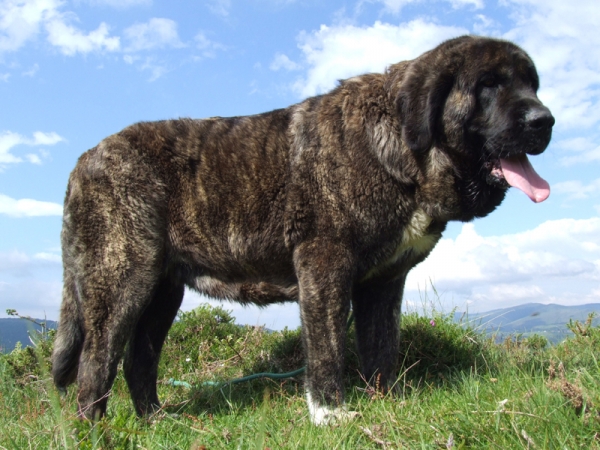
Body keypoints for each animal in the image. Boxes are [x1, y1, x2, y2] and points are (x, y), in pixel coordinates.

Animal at [51, 36, 552, 426]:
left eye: (532, 85)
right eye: (488, 84)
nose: (544, 120)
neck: (404, 149)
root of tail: (82, 161)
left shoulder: (383, 283)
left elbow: (381, 349)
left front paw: (386, 403)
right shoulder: (324, 263)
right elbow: (328, 348)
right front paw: (330, 414)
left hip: (161, 292)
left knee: (139, 359)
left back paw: (156, 421)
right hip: (123, 282)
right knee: (95, 366)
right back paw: (96, 432)